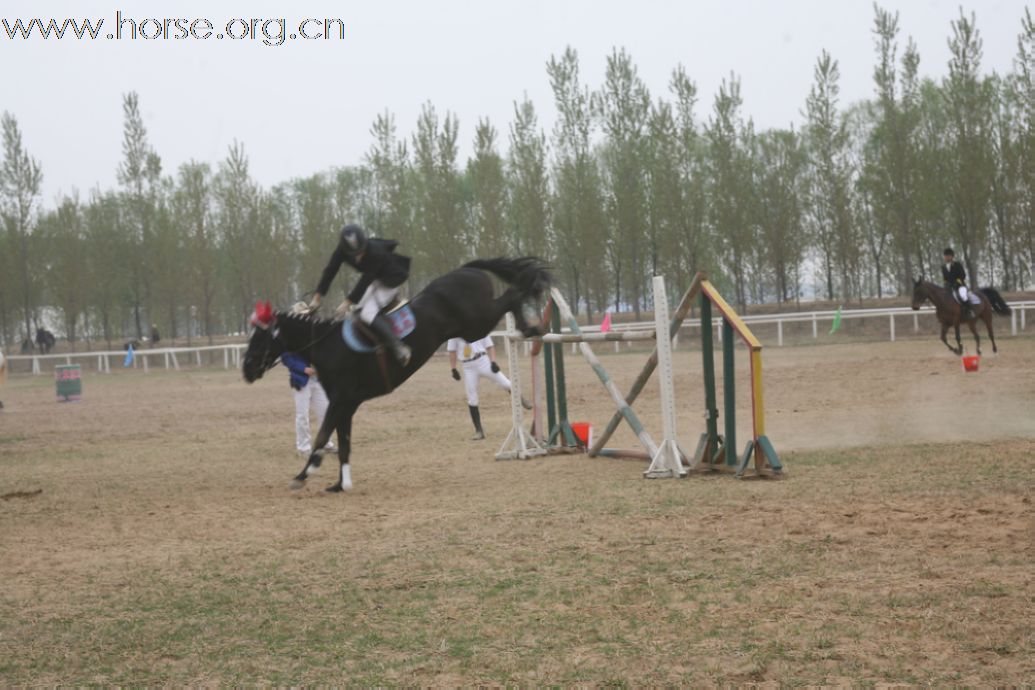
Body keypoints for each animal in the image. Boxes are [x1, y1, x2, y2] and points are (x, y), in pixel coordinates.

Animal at [243, 257, 554, 490]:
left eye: (259, 338)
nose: (246, 370)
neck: (325, 343)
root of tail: (467, 269)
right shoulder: (346, 405)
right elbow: (343, 442)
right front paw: (340, 484)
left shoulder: (340, 400)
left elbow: (322, 437)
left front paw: (304, 474)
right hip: (473, 325)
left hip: (476, 323)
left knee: (513, 295)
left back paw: (531, 324)